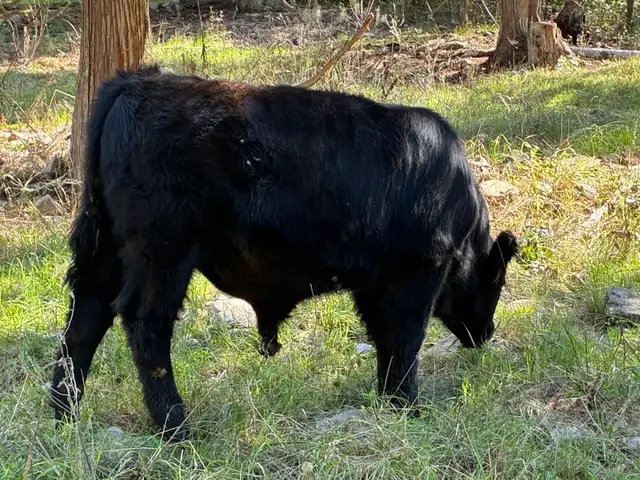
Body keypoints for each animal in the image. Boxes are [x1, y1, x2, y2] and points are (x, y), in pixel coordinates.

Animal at [49, 65, 518, 441]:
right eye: (495, 281)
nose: (486, 332)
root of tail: (137, 82)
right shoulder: (418, 270)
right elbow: (406, 339)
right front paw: (410, 407)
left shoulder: (374, 283)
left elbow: (385, 341)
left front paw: (389, 401)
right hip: (162, 253)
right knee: (146, 326)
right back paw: (176, 427)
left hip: (107, 252)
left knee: (84, 320)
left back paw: (63, 415)